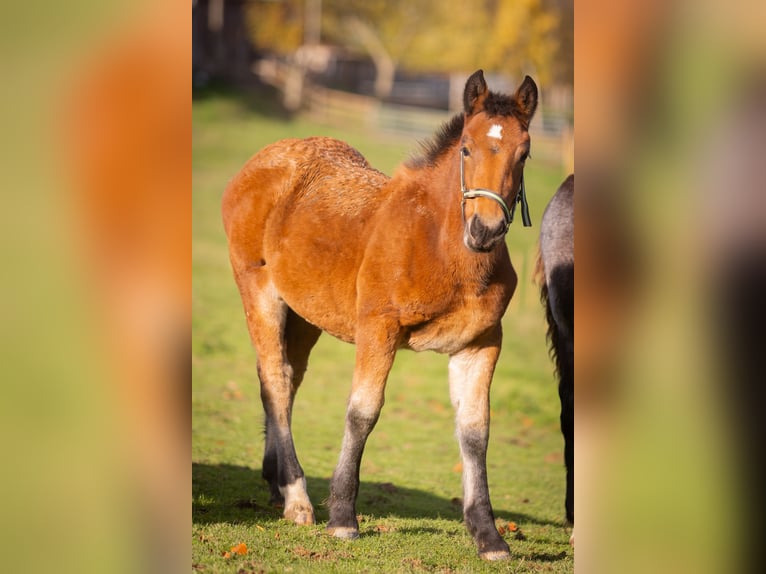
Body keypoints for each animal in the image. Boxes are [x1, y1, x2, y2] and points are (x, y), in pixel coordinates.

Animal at [221, 70, 538, 560]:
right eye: (466, 147)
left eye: (524, 153)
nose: (484, 230)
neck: (440, 245)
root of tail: (264, 159)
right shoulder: (378, 328)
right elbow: (363, 412)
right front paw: (342, 519)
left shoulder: (480, 343)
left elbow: (475, 431)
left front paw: (488, 535)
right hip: (259, 292)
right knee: (275, 378)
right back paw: (297, 498)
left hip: (305, 315)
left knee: (284, 380)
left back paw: (277, 484)